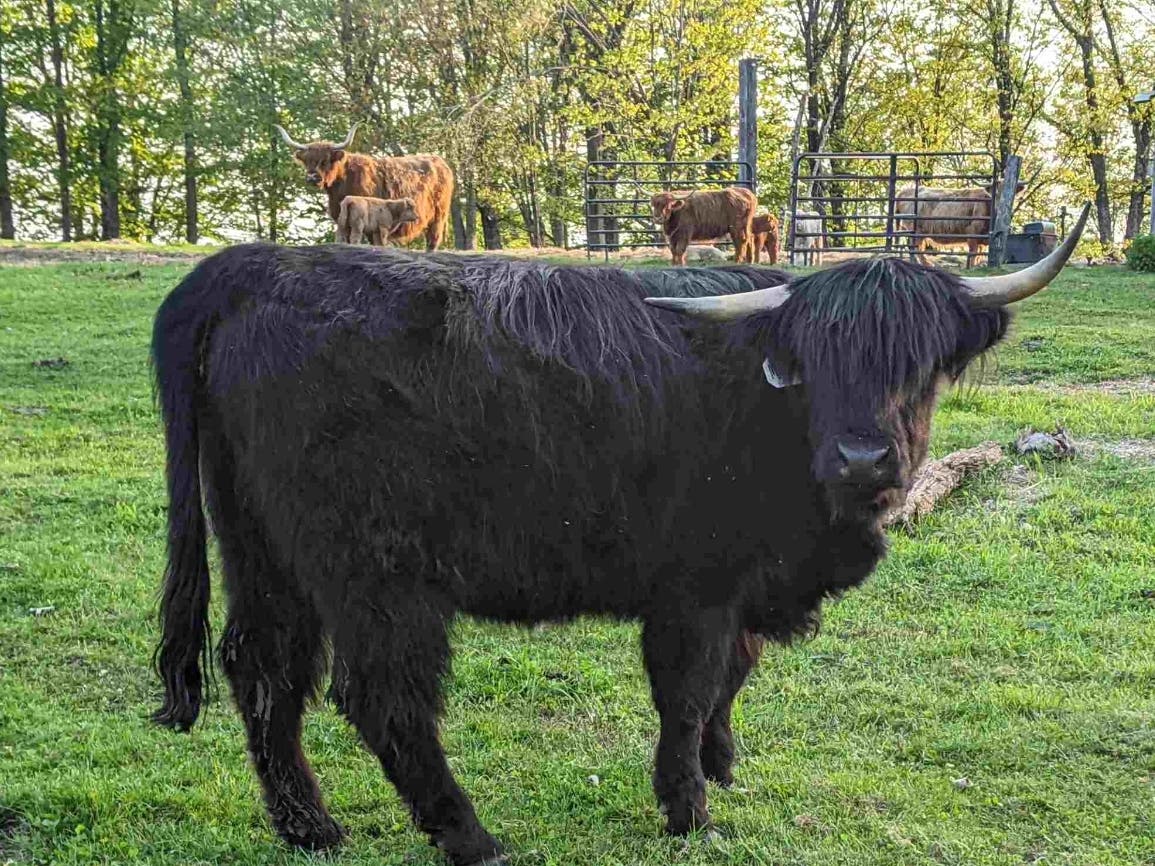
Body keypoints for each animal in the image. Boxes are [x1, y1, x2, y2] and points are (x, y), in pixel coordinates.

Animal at [150, 205, 1089, 866]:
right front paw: (688, 809)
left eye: (918, 361)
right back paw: (471, 837)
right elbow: (688, 691)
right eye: (815, 359)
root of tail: (255, 264)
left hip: (263, 551)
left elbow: (732, 679)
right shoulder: (695, 586)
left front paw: (721, 764)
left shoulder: (742, 585)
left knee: (263, 671)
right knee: (383, 698)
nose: (862, 458)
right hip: (373, 572)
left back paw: (309, 826)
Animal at [275, 123, 454, 250]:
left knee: (433, 239)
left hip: (438, 215)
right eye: (307, 161)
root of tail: (440, 162)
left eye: (325, 160)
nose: (312, 177)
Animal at [895, 182, 1025, 269]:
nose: (1001, 205)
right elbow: (973, 252)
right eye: (996, 193)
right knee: (916, 248)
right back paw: (927, 264)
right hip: (916, 230)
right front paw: (971, 267)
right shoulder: (972, 232)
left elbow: (979, 253)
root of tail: (906, 190)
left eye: (1013, 194)